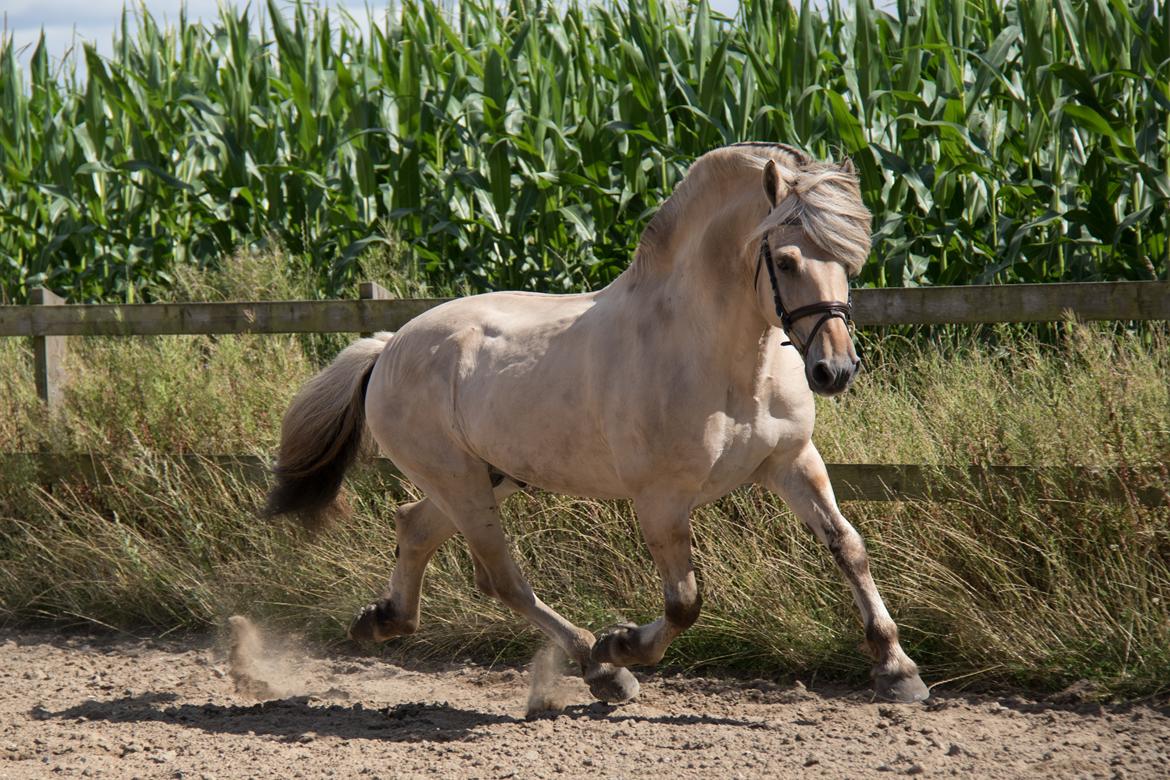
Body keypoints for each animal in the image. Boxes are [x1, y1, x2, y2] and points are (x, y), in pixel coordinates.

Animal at [267, 142, 931, 706]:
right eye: (788, 260)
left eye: (852, 258)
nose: (834, 370)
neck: (723, 361)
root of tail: (387, 345)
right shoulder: (661, 498)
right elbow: (685, 602)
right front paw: (622, 643)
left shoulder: (791, 461)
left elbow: (848, 546)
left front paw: (898, 671)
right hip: (459, 480)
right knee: (501, 577)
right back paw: (601, 667)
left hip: (486, 476)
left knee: (416, 527)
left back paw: (381, 621)